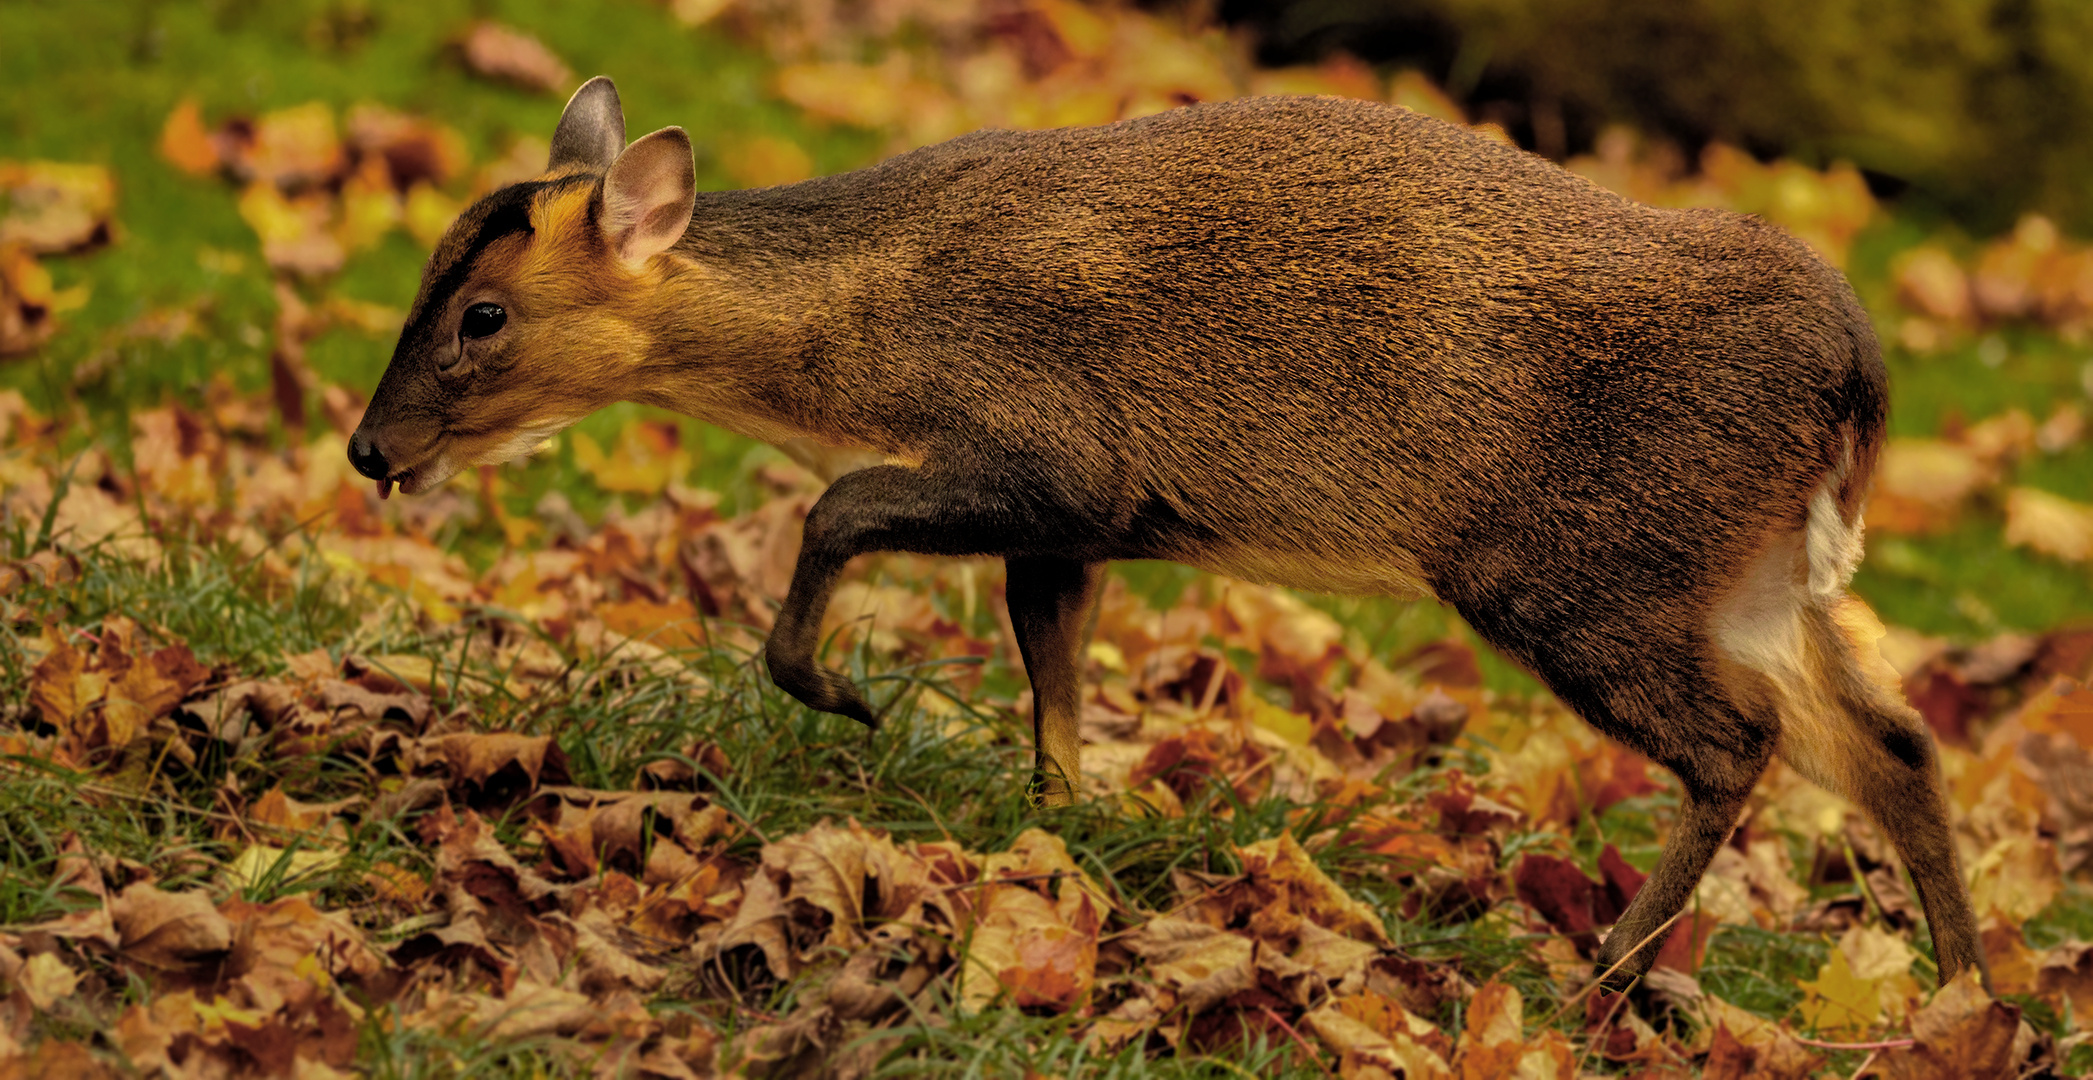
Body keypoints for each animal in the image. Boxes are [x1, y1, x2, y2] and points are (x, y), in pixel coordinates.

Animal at [351, 73, 1984, 987]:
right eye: (425, 269)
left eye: (482, 316)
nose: (369, 449)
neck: (872, 324)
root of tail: (1855, 373)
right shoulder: (1082, 523)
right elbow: (1051, 655)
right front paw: (1062, 830)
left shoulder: (1059, 453)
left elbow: (837, 505)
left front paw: (839, 691)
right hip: (1755, 580)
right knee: (1895, 745)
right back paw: (1973, 996)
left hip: (1583, 572)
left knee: (1739, 744)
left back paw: (1605, 976)